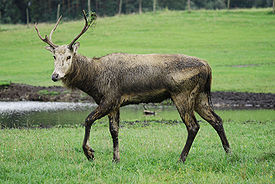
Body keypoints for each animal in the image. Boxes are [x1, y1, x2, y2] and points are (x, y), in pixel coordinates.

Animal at [34, 10, 231, 163]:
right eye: (54, 57)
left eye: (68, 56)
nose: (55, 76)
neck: (93, 81)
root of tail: (208, 66)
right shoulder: (115, 104)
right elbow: (114, 130)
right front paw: (116, 159)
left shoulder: (110, 98)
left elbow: (88, 119)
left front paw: (90, 153)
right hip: (200, 96)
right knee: (217, 119)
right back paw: (229, 152)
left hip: (182, 93)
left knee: (193, 126)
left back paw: (181, 158)